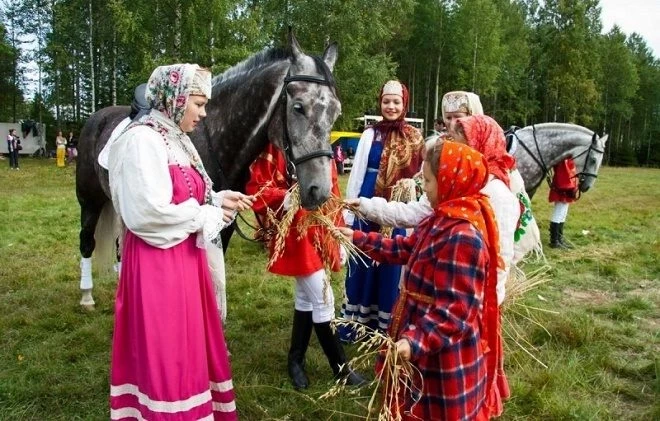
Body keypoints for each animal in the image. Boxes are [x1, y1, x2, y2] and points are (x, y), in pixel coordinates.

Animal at [76, 32, 340, 306]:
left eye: (336, 111)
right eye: (298, 107)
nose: (319, 190)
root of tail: (97, 117)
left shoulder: (223, 225)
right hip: (89, 200)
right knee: (86, 242)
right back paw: (87, 297)